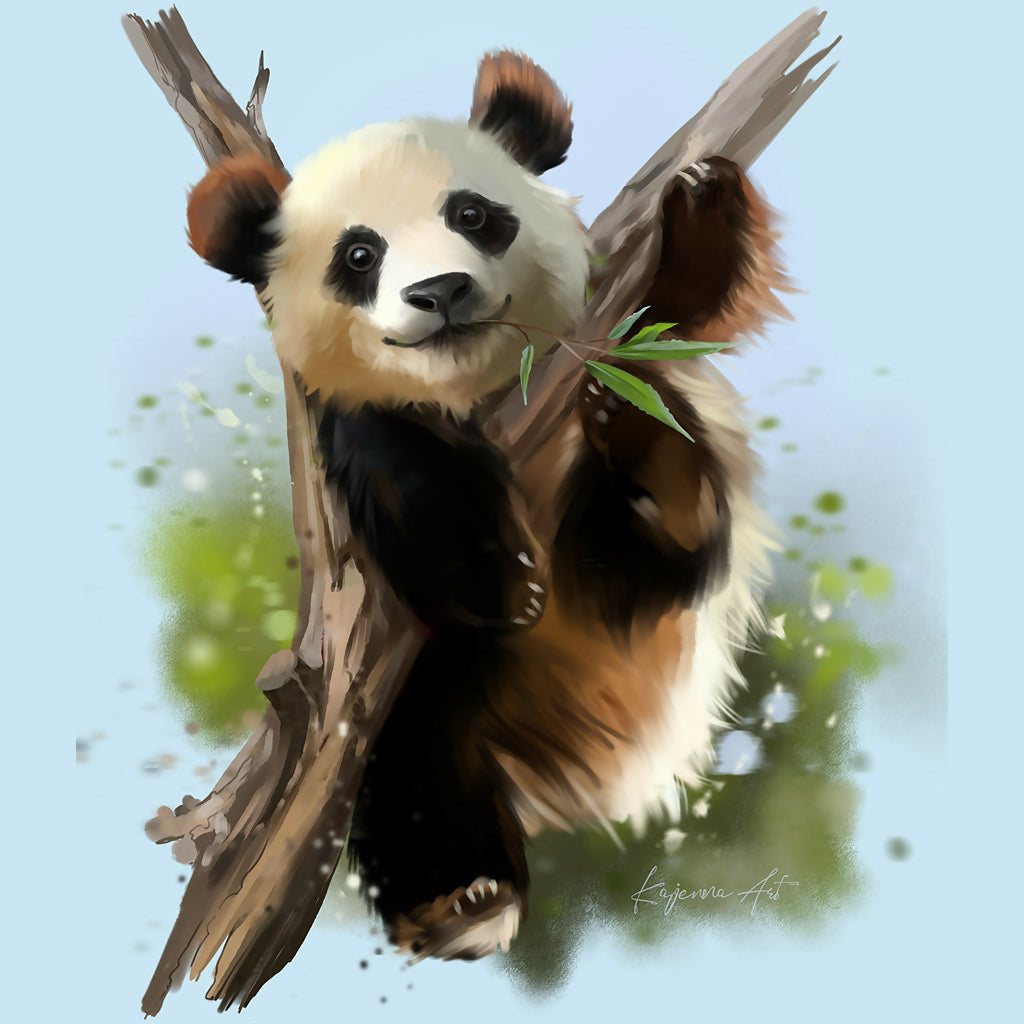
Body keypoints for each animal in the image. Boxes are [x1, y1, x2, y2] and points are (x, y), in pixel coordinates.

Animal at [185, 52, 781, 963]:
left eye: (471, 214)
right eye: (360, 253)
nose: (441, 290)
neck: (477, 389)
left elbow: (674, 318)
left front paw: (702, 203)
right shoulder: (368, 456)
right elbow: (400, 474)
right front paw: (503, 578)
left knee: (666, 534)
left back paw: (650, 468)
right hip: (423, 699)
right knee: (412, 771)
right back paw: (461, 901)